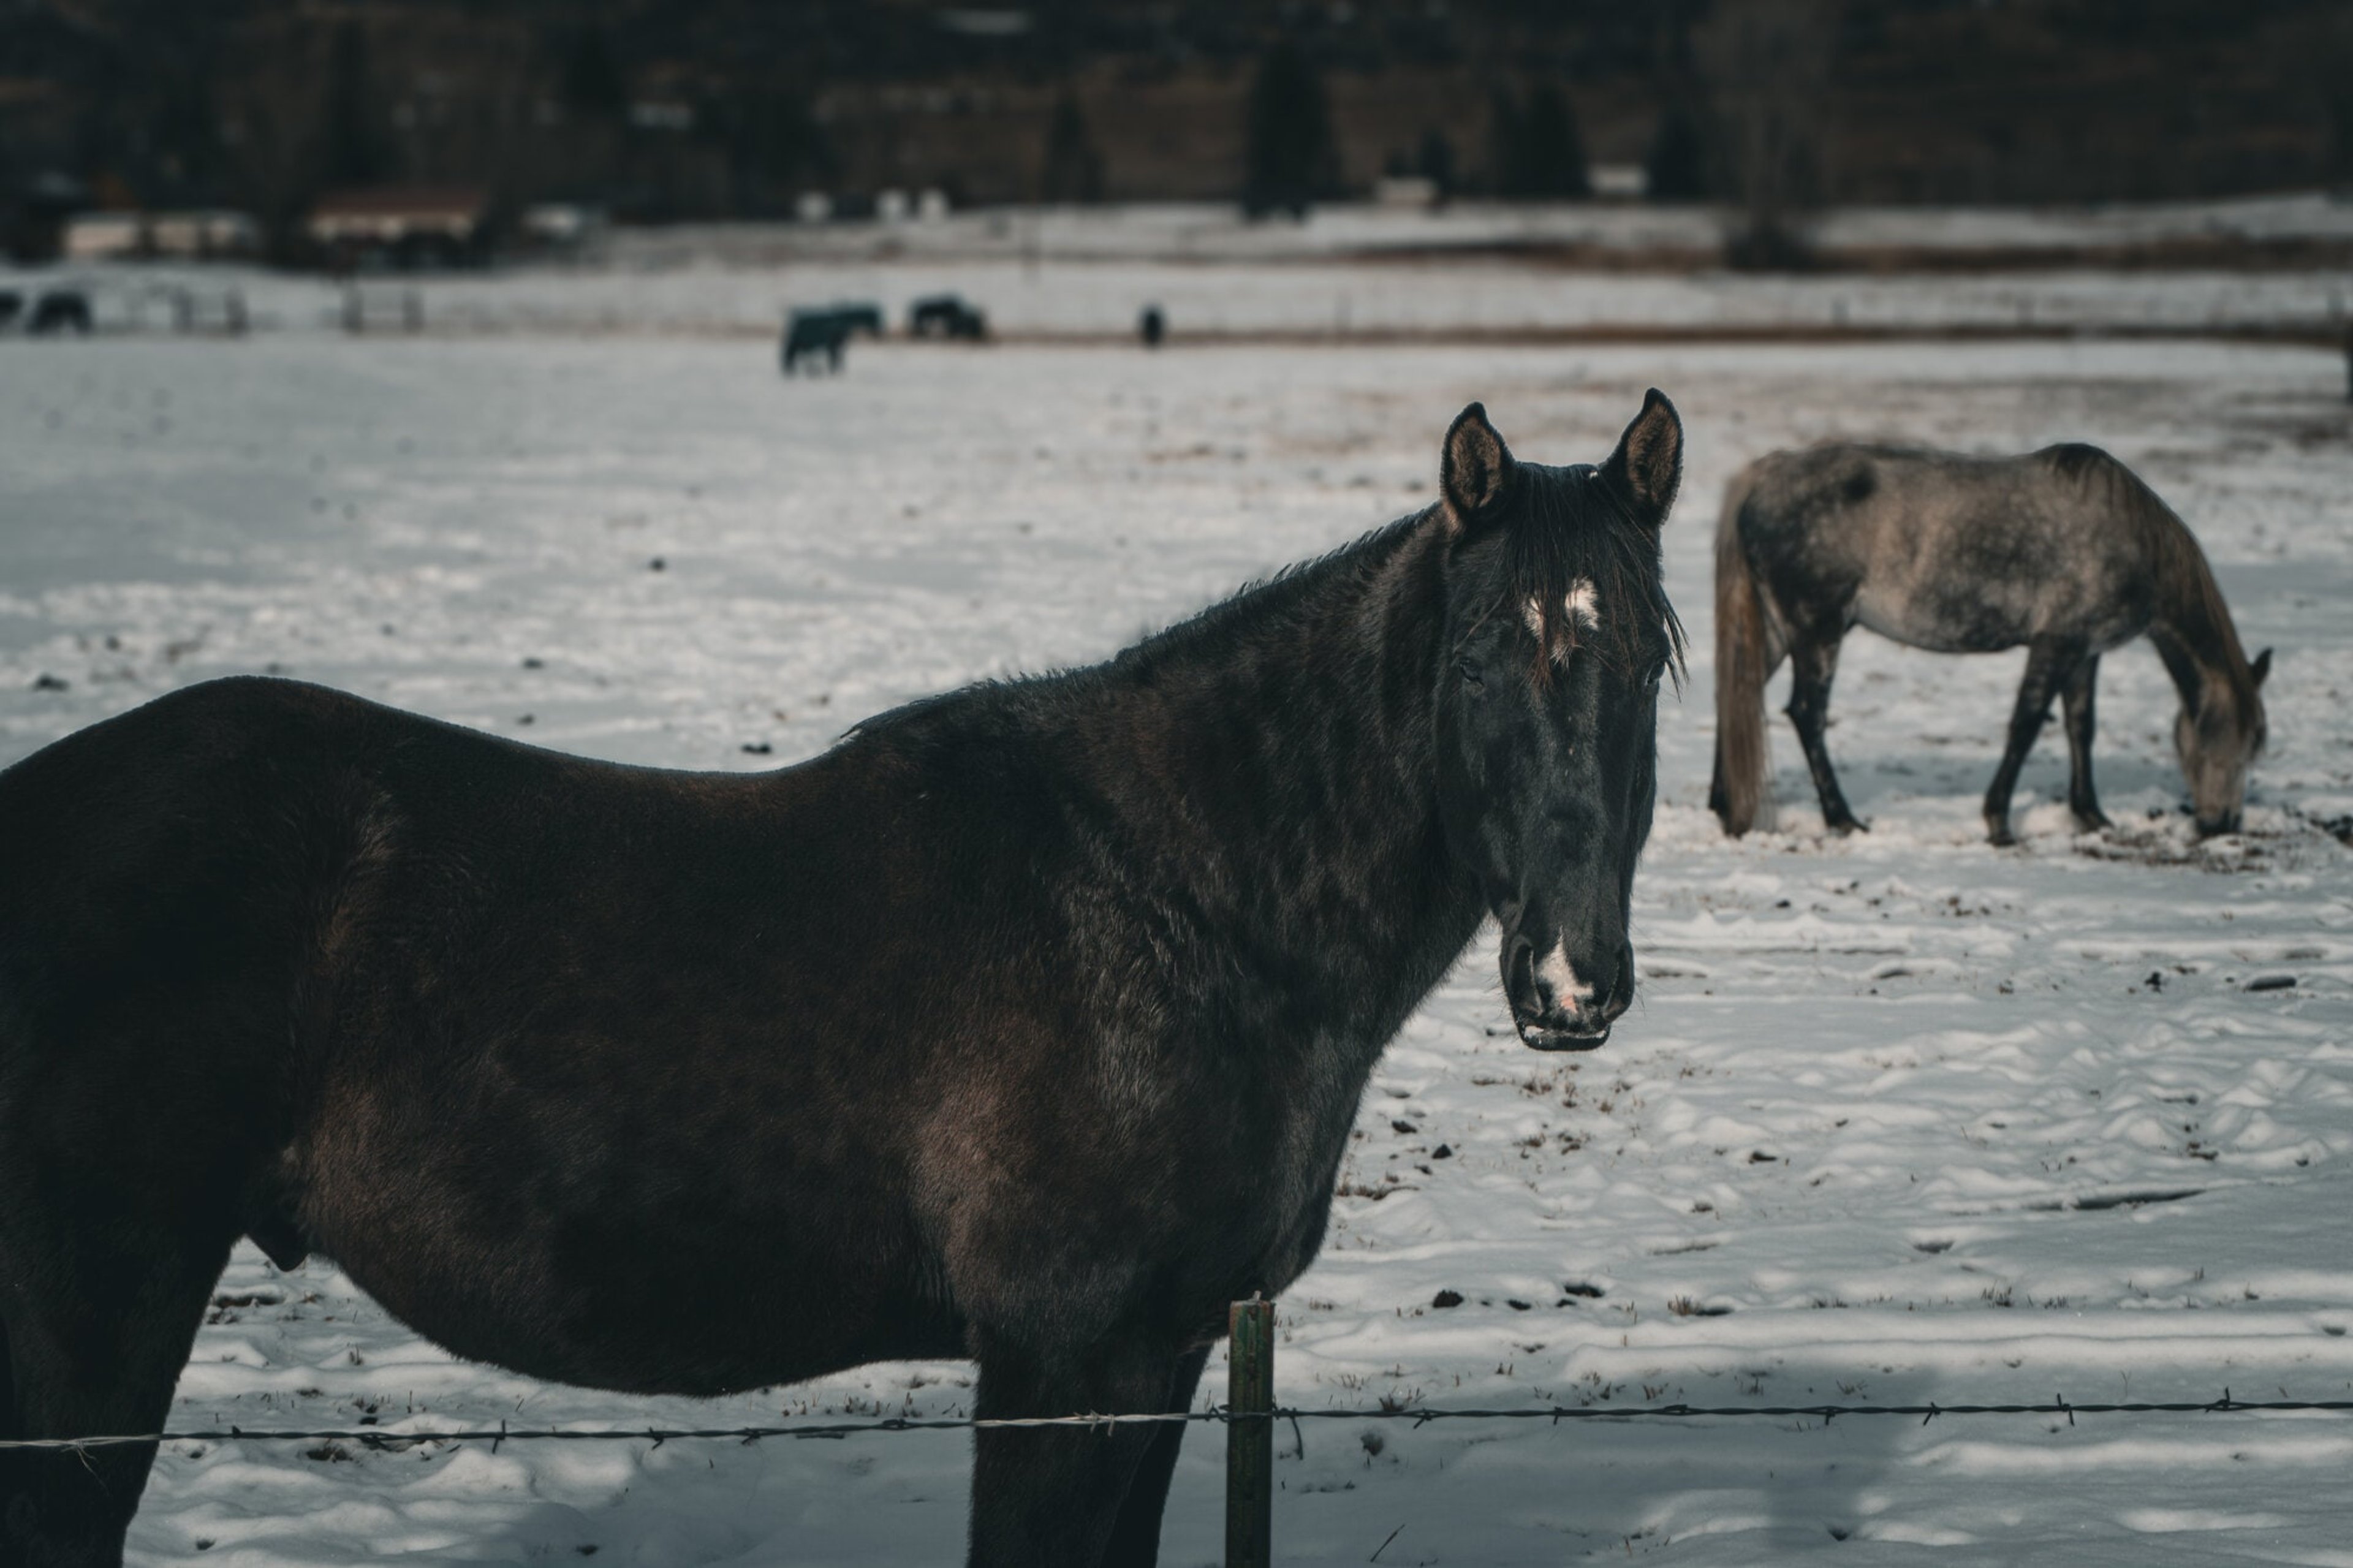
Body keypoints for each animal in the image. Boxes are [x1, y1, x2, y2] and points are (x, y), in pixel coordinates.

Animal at [0, 393, 1686, 1568]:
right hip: (90, 1321)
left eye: (1647, 659)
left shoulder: (1156, 1352)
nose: (1568, 981)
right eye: (1478, 655)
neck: (1182, 900)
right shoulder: (1061, 1359)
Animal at [1709, 440, 2270, 845]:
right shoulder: (2056, 644)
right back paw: (1841, 818)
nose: (2223, 822)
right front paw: (1999, 822)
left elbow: (2081, 727)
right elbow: (2026, 725)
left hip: (1780, 631)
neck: (2132, 541)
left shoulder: (2084, 652)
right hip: (1818, 632)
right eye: (2236, 741)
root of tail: (1766, 476)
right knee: (1808, 714)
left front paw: (2092, 815)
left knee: (1738, 695)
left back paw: (1725, 806)